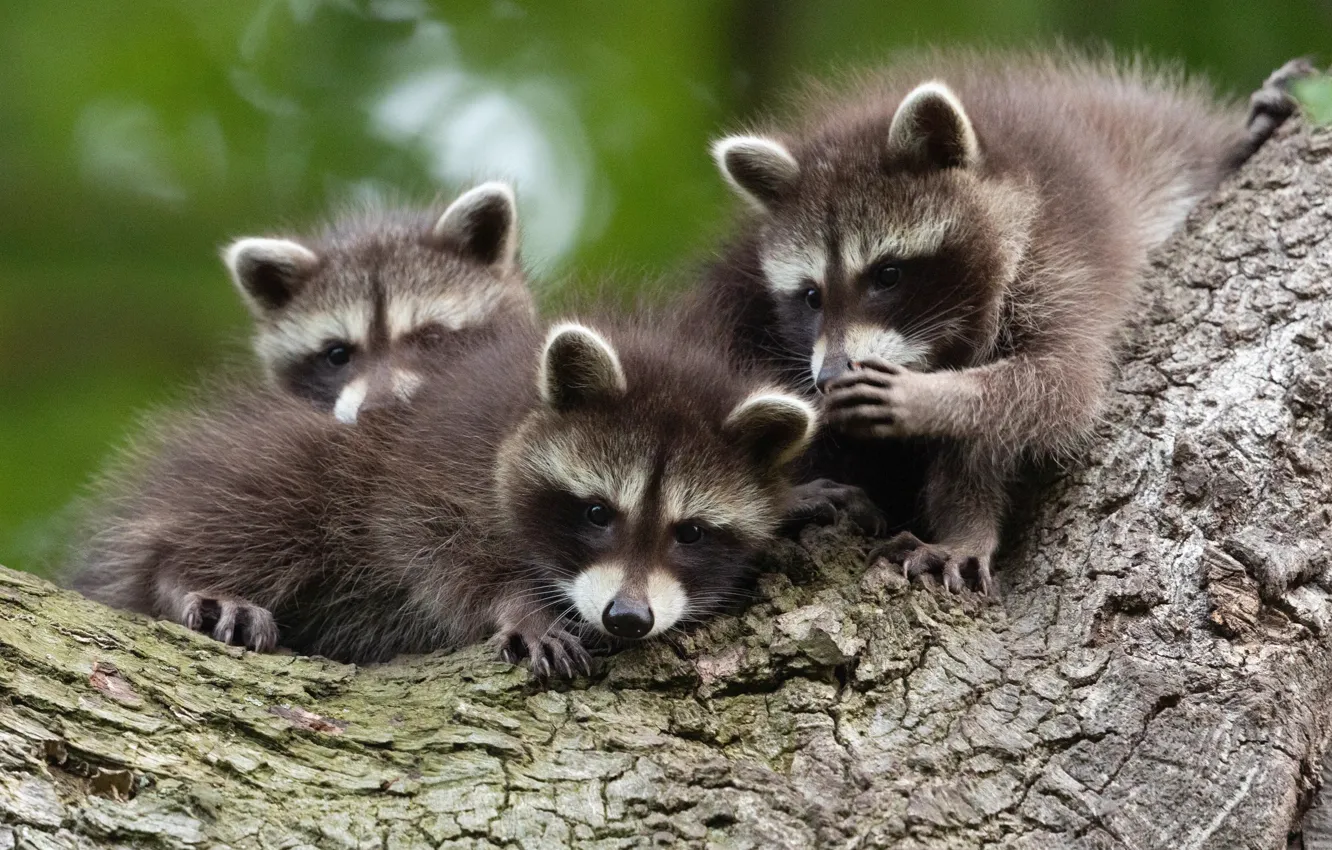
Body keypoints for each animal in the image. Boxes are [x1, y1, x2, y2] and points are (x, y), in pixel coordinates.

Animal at [70, 311, 817, 678]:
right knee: (285, 497)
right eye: (597, 513)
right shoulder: (436, 463)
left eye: (690, 532)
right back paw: (180, 573)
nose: (627, 618)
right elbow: (434, 547)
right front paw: (518, 606)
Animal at [701, 50, 1310, 595]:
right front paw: (965, 522)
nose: (826, 378)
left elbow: (1058, 387)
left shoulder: (1058, 261)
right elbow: (988, 439)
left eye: (888, 274)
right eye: (811, 297)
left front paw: (931, 398)